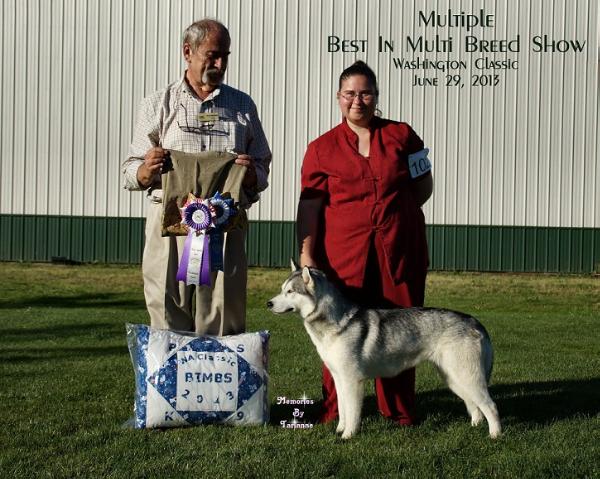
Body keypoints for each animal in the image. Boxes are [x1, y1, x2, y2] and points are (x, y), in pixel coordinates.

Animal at [268, 264, 502, 440]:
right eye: (281, 289)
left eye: (290, 292)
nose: (268, 303)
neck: (337, 324)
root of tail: (474, 321)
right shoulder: (339, 379)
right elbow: (342, 410)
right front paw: (339, 430)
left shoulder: (353, 381)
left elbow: (352, 413)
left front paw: (347, 436)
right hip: (454, 379)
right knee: (475, 406)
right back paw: (474, 427)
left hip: (467, 377)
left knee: (490, 406)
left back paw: (495, 435)